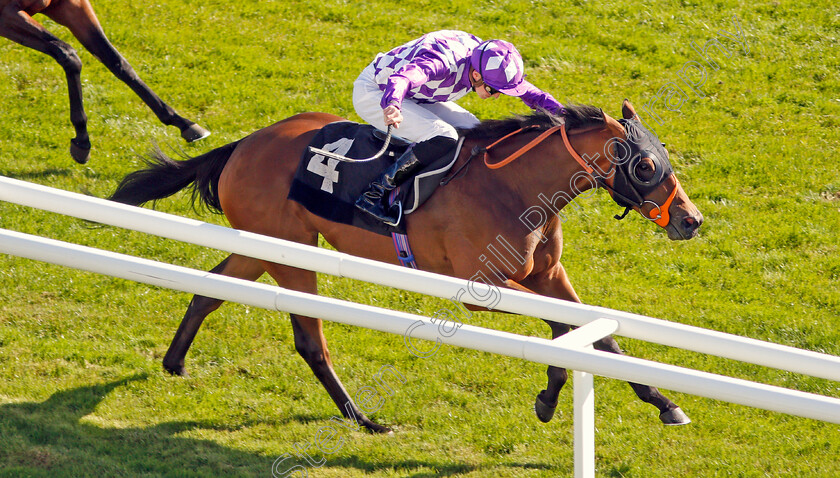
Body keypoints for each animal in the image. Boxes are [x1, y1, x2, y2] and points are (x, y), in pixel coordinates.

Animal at [0, 0, 210, 164]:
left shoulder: (72, 5)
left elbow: (116, 61)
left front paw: (183, 123)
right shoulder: (6, 13)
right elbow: (67, 54)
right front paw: (82, 139)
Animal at [110, 100, 704, 434]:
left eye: (665, 155)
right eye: (645, 164)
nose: (691, 220)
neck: (514, 187)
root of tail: (242, 145)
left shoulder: (546, 275)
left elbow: (599, 335)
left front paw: (664, 402)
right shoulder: (483, 287)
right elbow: (563, 333)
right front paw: (549, 395)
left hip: (264, 246)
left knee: (209, 288)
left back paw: (175, 363)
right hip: (288, 249)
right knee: (310, 340)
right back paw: (363, 420)